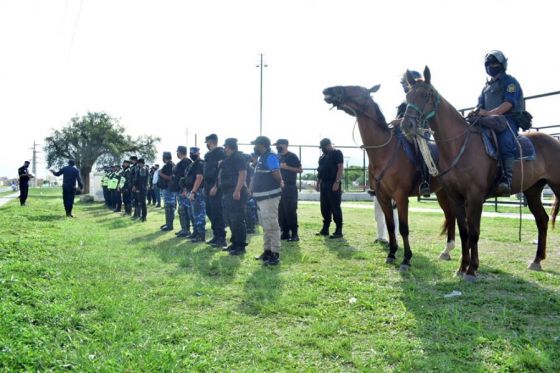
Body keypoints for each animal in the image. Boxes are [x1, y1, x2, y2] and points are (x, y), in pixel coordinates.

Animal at [322, 85, 458, 268]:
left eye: (356, 89)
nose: (328, 90)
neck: (384, 152)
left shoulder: (401, 197)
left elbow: (403, 228)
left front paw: (406, 259)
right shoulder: (382, 197)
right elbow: (391, 225)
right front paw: (392, 253)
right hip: (441, 193)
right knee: (450, 215)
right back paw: (446, 251)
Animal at [400, 66, 560, 280]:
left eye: (426, 95)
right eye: (408, 96)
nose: (406, 125)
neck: (459, 145)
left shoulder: (475, 197)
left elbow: (474, 232)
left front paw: (472, 268)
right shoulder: (457, 198)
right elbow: (464, 232)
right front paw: (462, 267)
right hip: (532, 190)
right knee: (542, 220)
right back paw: (536, 261)